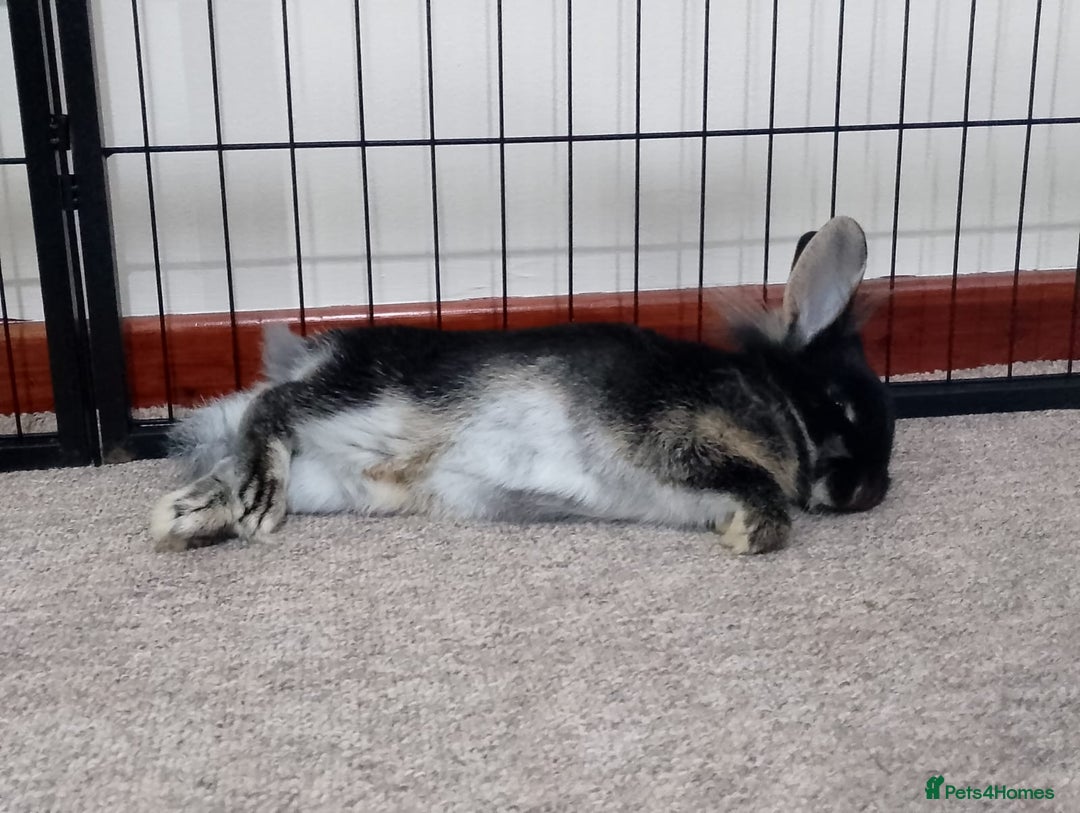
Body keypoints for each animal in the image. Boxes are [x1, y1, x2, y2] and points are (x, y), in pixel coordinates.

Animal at [151, 215, 894, 555]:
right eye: (840, 405)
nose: (870, 492)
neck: (774, 401)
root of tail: (316, 354)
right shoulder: (670, 434)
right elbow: (757, 485)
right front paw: (753, 535)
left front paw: (739, 531)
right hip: (367, 396)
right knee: (271, 407)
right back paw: (249, 500)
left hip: (344, 474)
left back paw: (184, 517)